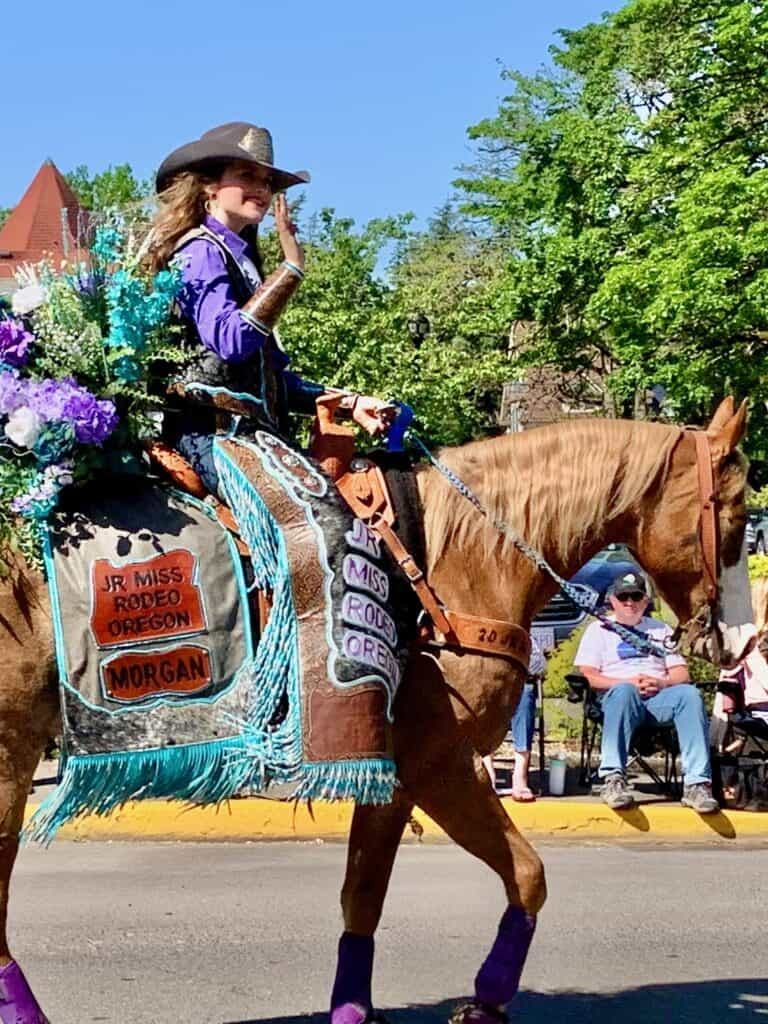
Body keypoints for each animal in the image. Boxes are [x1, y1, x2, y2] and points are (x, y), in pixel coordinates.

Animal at [0, 395, 753, 1019]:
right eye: (742, 514)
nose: (741, 641)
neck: (460, 558)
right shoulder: (431, 764)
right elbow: (478, 881)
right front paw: (464, 1003)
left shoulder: (409, 771)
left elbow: (407, 889)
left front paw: (409, 1003)